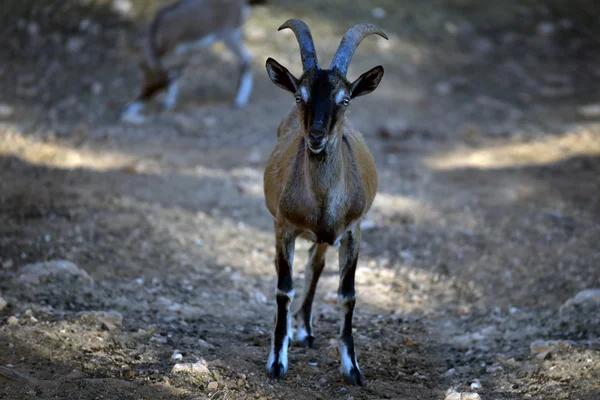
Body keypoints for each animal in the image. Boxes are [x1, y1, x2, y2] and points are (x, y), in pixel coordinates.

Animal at [119, 0, 264, 123]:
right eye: (144, 84)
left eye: (160, 86)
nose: (128, 109)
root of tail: (243, 3)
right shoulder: (184, 51)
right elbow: (177, 72)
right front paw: (168, 102)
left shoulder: (174, 50)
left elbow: (175, 72)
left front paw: (167, 102)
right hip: (235, 33)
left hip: (227, 34)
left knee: (247, 57)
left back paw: (240, 100)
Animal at [264, 18, 386, 384]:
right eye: (299, 95)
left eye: (345, 100)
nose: (317, 136)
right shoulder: (284, 227)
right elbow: (283, 289)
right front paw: (277, 361)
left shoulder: (353, 230)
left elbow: (347, 294)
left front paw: (353, 367)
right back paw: (297, 329)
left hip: (326, 237)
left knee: (316, 265)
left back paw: (305, 328)